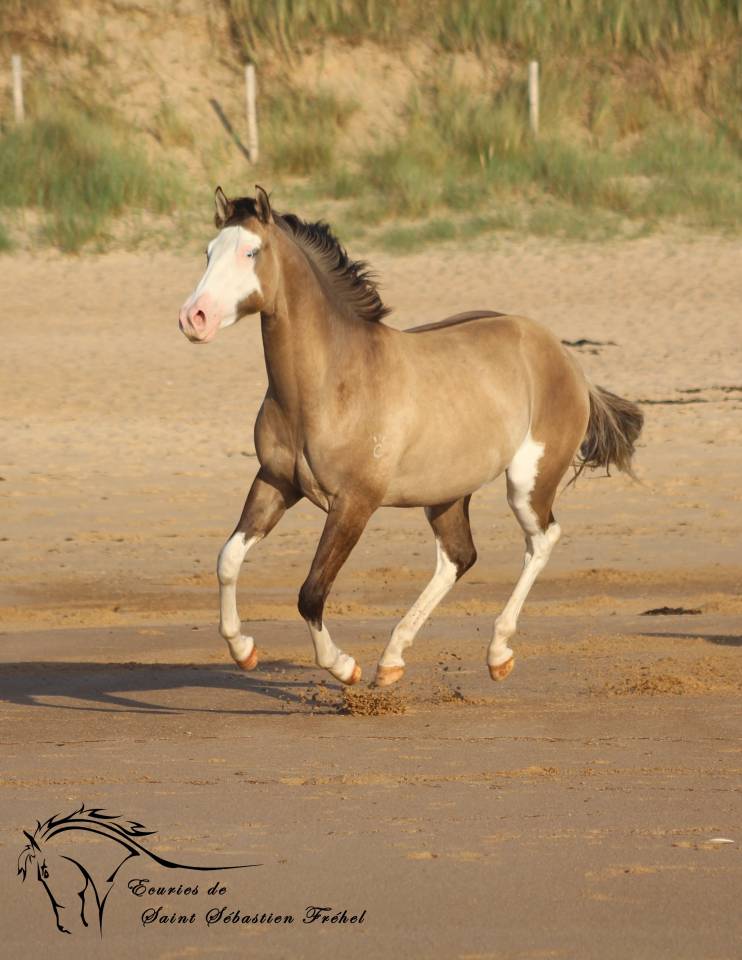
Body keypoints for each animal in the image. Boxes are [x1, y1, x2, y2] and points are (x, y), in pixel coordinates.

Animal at [178, 186, 643, 689]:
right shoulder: (276, 482)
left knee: (542, 539)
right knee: (459, 556)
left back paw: (497, 653)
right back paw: (392, 660)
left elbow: (312, 592)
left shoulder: (354, 504)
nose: (194, 318)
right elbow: (227, 560)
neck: (327, 383)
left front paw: (344, 666)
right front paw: (244, 651)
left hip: (526, 482)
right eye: (208, 252)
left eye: (251, 252)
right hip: (447, 493)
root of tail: (563, 356)